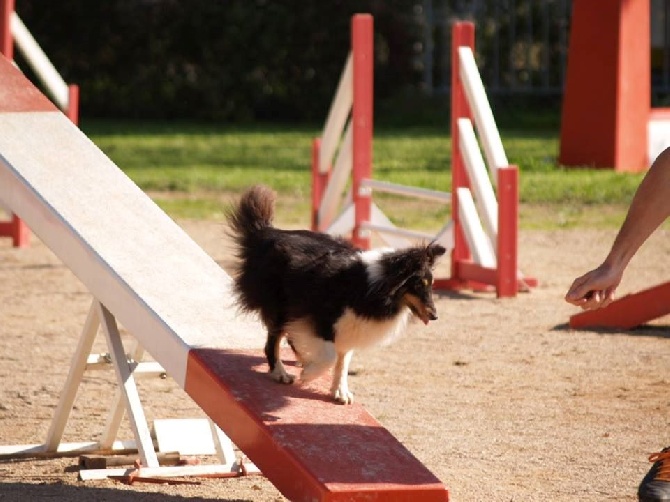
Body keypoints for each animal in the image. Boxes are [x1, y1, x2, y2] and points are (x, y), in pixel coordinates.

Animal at [228, 184, 448, 404]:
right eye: (418, 285)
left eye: (431, 285)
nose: (435, 316)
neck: (371, 285)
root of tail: (267, 232)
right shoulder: (322, 317)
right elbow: (331, 356)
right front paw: (310, 374)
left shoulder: (349, 326)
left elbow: (343, 361)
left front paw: (340, 392)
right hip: (281, 305)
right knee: (273, 341)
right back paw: (281, 372)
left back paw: (304, 359)